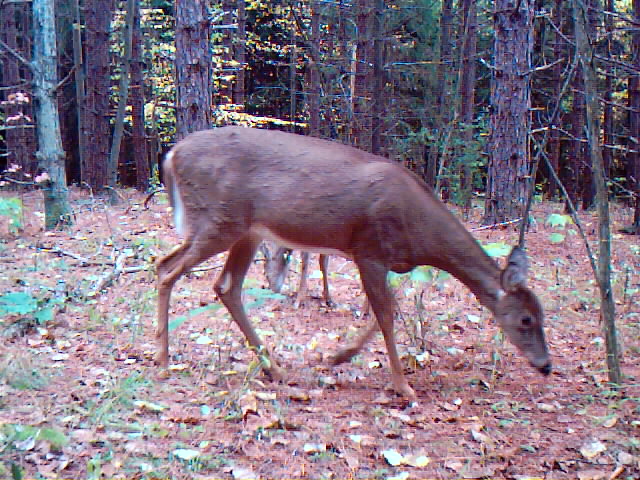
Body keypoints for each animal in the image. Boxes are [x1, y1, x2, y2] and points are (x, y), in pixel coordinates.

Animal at [156, 126, 551, 402]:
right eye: (525, 320)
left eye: (543, 315)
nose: (546, 366)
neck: (422, 236)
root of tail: (172, 154)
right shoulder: (370, 251)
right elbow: (387, 315)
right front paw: (403, 387)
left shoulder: (387, 260)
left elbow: (386, 311)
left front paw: (337, 357)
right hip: (218, 220)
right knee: (166, 268)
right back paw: (162, 359)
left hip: (245, 231)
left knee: (223, 285)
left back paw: (275, 370)